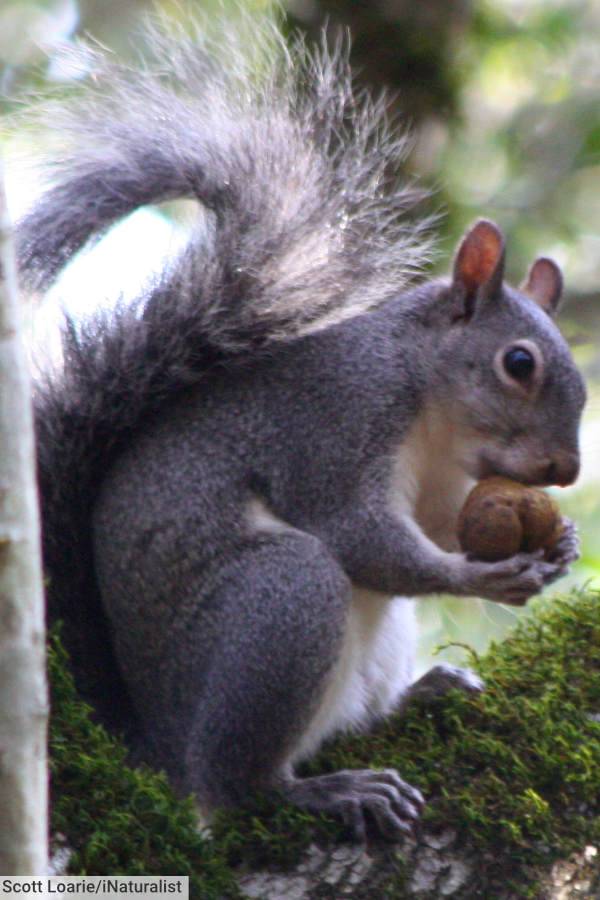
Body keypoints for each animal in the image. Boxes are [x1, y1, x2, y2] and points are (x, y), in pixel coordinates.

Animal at [15, 17, 584, 840]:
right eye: (518, 362)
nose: (567, 471)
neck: (431, 412)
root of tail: (158, 743)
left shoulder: (442, 485)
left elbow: (439, 524)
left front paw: (561, 542)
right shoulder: (335, 427)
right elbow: (361, 535)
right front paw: (478, 577)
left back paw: (423, 692)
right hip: (280, 600)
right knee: (236, 779)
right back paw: (322, 791)